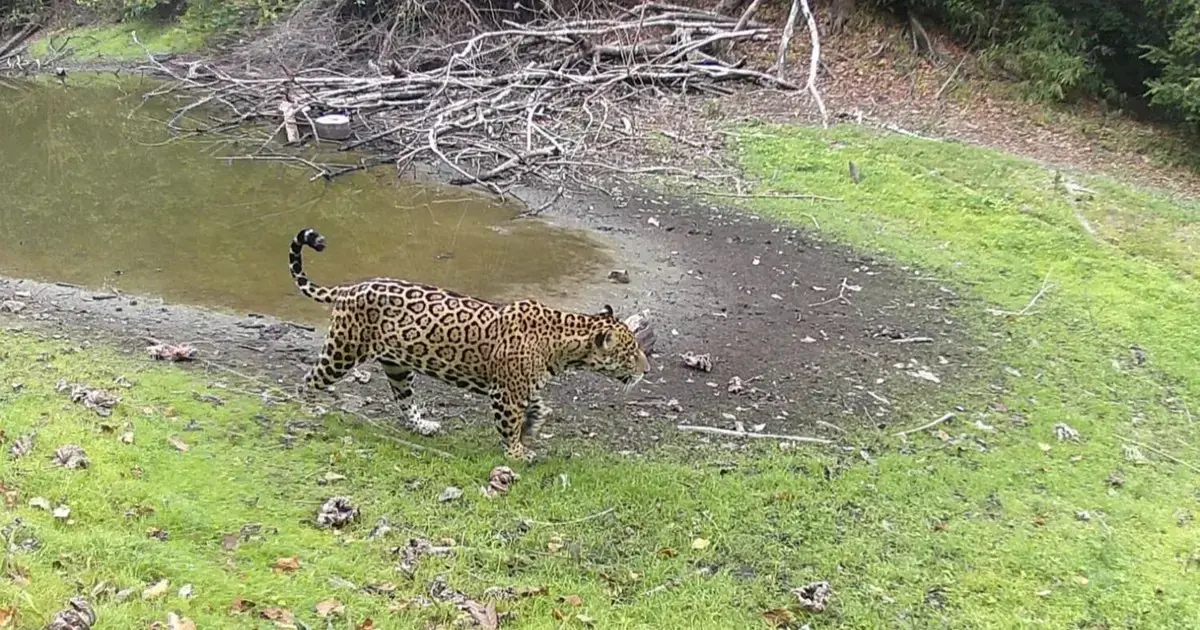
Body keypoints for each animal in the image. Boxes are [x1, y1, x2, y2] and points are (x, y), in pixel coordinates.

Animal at [288, 227, 651, 461]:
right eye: (631, 352)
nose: (647, 370)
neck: (563, 339)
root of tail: (349, 288)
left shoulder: (522, 386)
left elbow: (537, 407)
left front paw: (533, 426)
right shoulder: (505, 393)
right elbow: (509, 424)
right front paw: (517, 453)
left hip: (398, 366)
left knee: (405, 400)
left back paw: (423, 425)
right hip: (343, 350)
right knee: (309, 380)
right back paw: (308, 407)